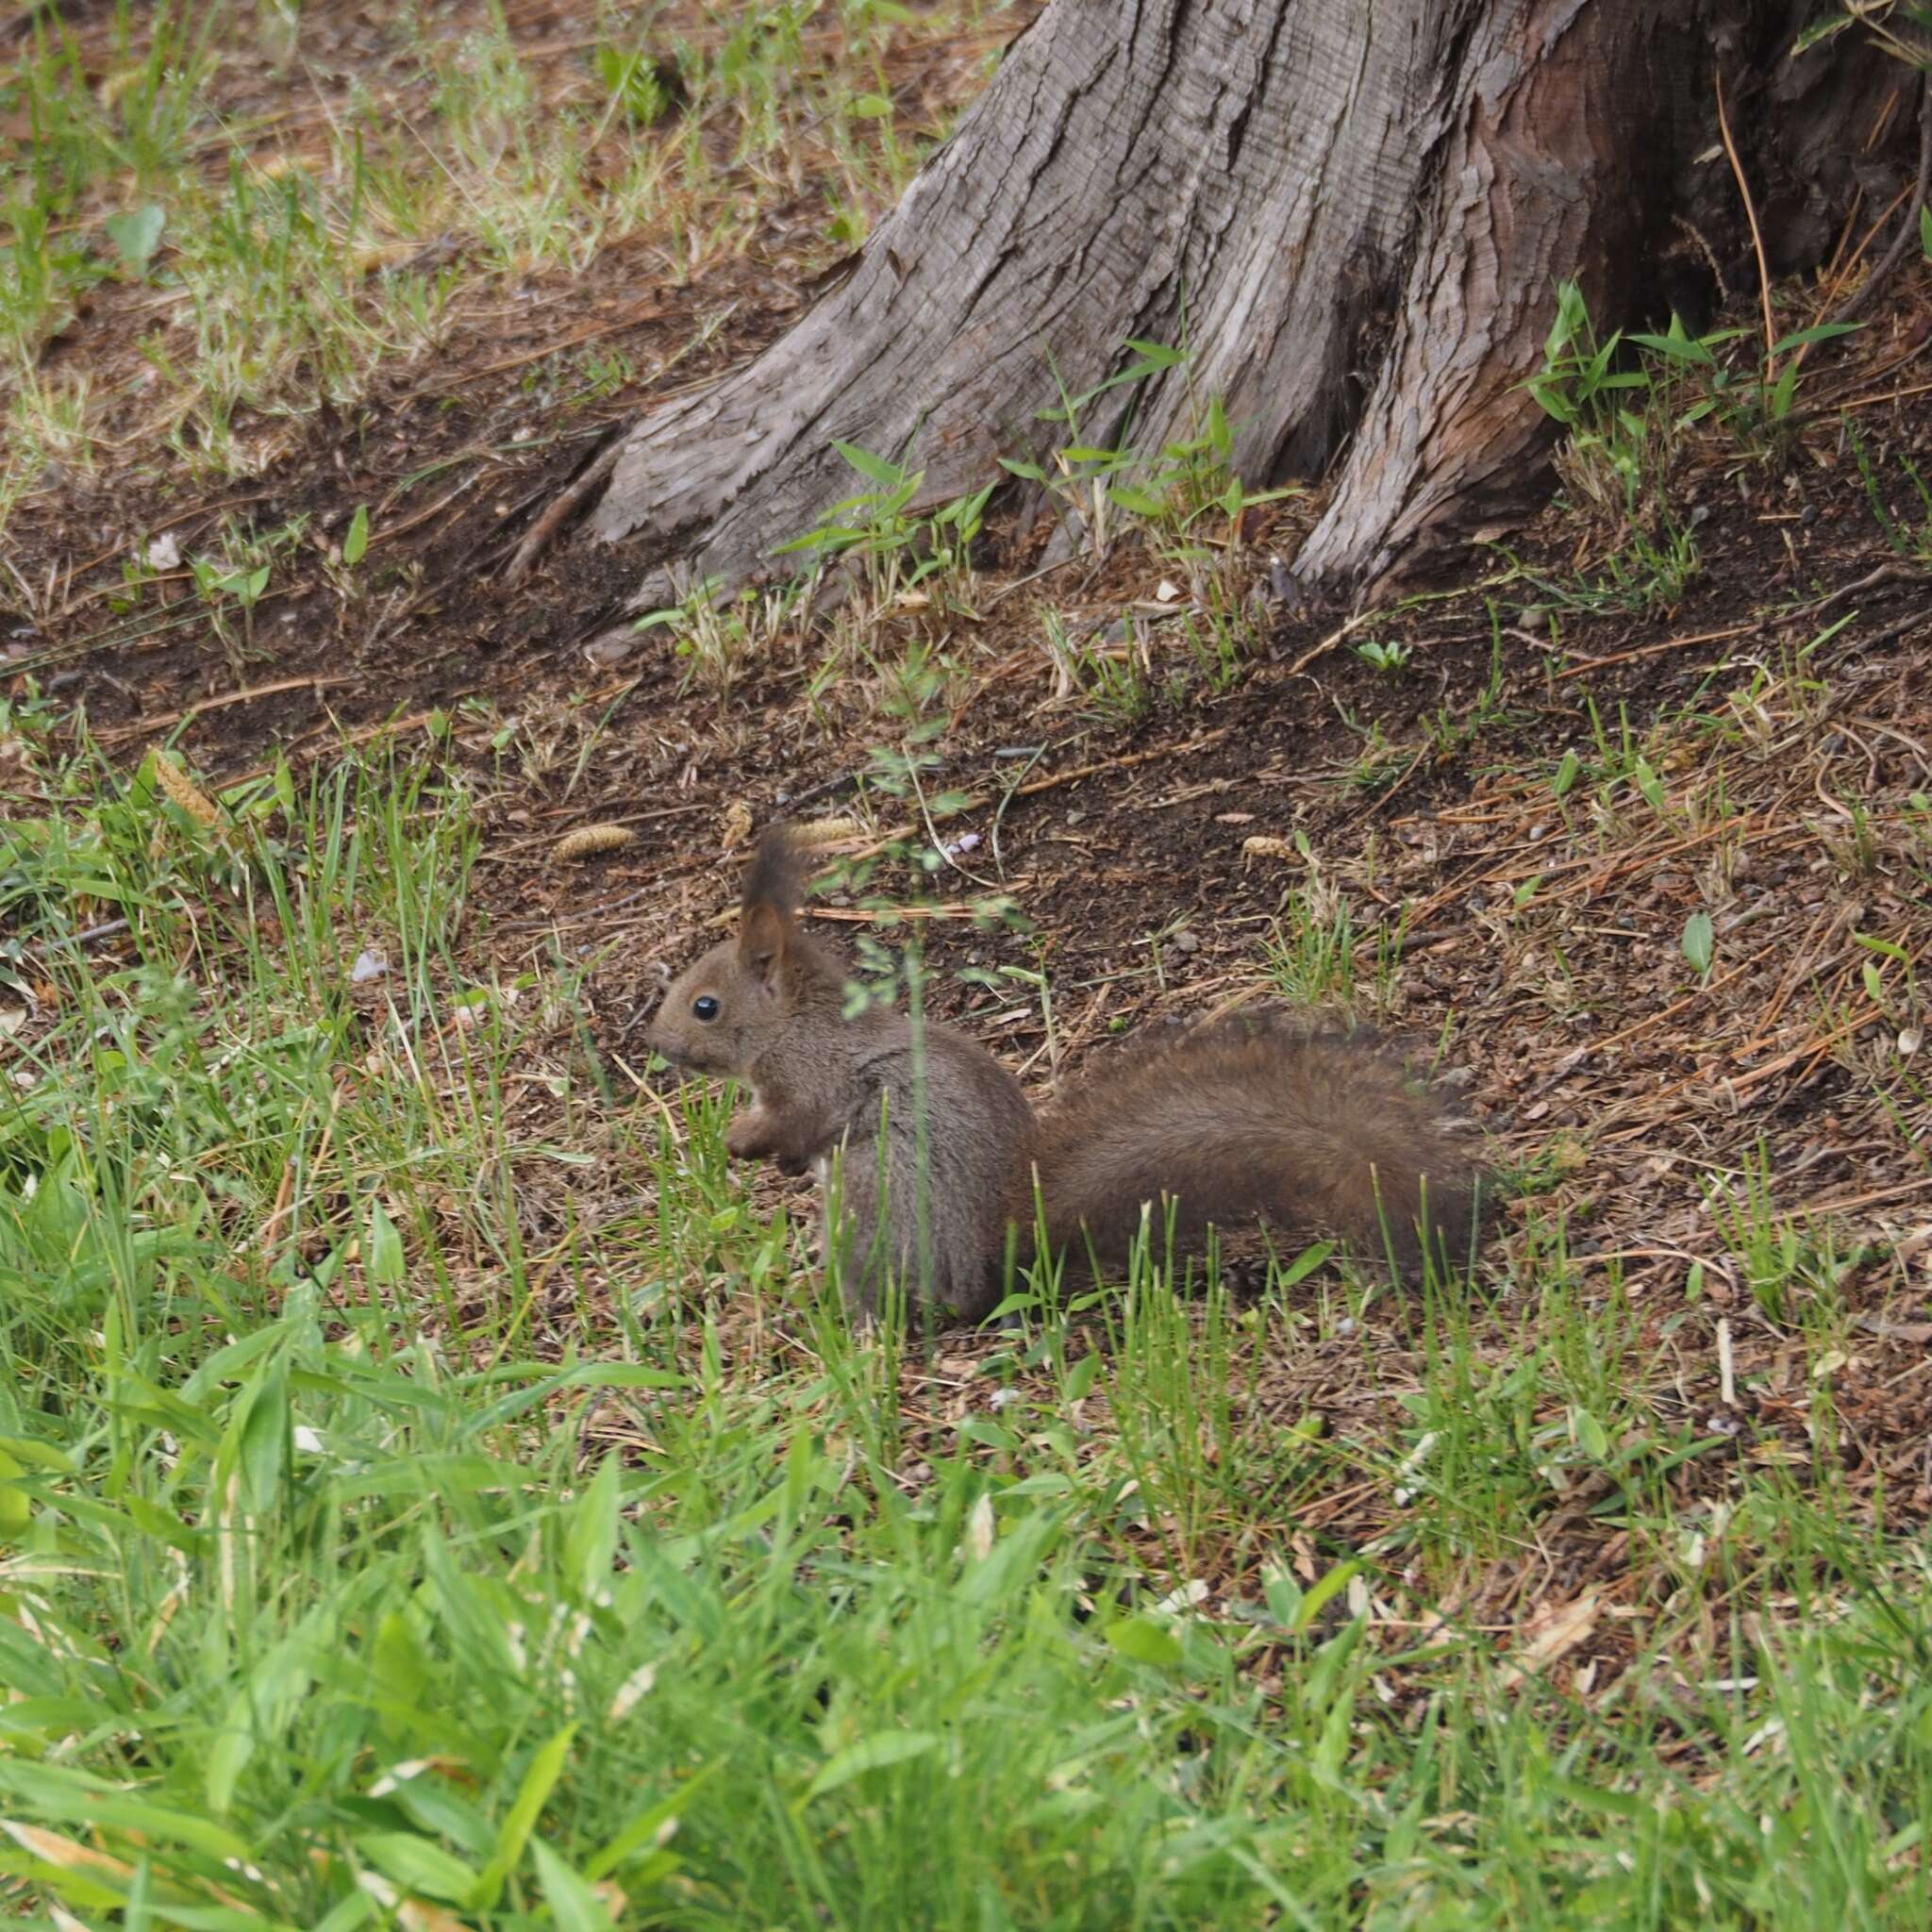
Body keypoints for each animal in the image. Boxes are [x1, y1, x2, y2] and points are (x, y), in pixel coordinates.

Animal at [653, 823, 1491, 1321]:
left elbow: (796, 1124)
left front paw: (739, 1141)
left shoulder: (813, 1079)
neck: (796, 1023)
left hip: (874, 1200)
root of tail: (998, 1257)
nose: (658, 1047)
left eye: (704, 1007)